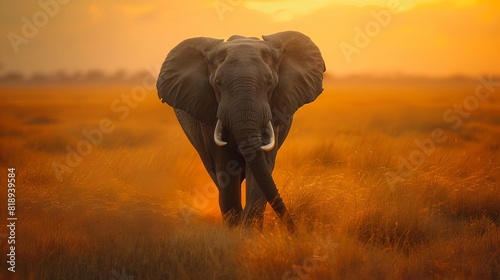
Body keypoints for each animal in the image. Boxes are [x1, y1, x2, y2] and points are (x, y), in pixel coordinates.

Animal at [158, 30, 326, 233]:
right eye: (218, 84)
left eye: (269, 82)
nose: (296, 231)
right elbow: (226, 171)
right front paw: (236, 230)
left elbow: (262, 168)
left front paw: (250, 232)